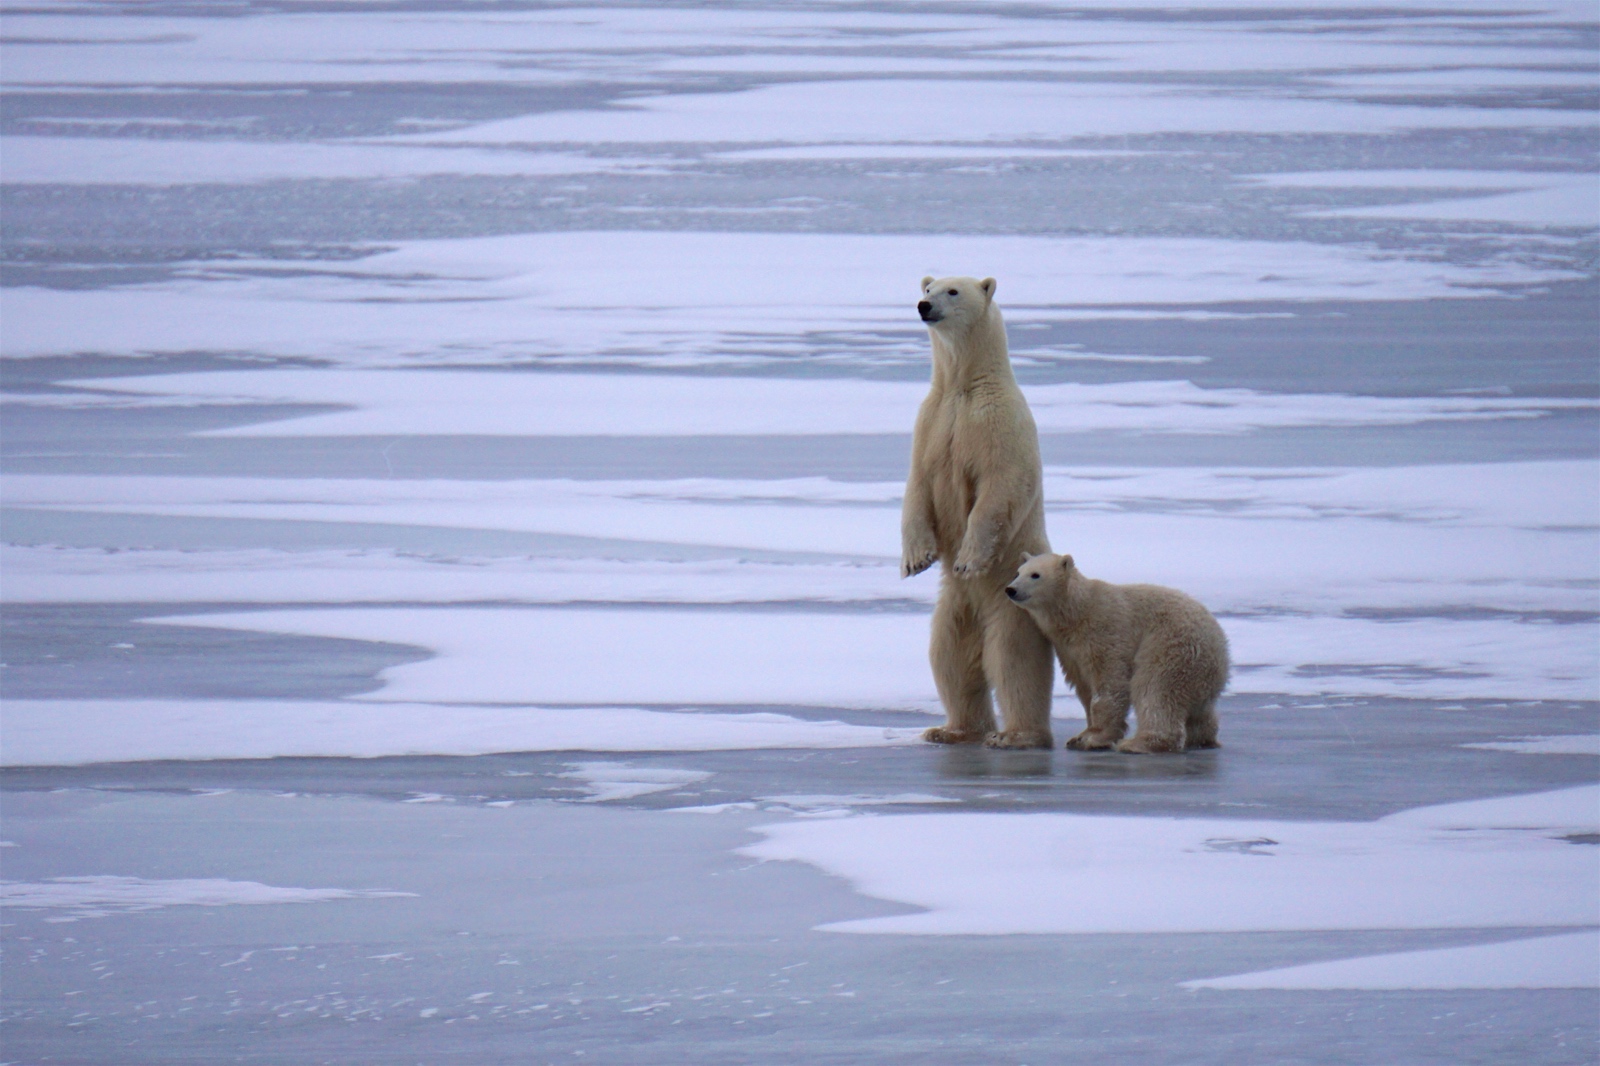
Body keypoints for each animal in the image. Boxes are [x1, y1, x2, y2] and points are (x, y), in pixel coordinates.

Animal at [902, 275, 1056, 749]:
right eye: (929, 287)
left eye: (952, 291)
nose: (923, 306)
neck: (963, 384)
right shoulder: (931, 421)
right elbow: (916, 487)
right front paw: (916, 559)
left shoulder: (997, 423)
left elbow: (1000, 486)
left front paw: (968, 559)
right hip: (955, 607)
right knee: (948, 656)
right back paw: (952, 729)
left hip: (1013, 597)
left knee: (1012, 660)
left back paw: (1017, 735)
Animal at [1004, 553, 1228, 754]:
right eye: (1017, 572)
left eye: (1035, 575)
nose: (1011, 589)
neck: (1077, 611)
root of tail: (1220, 643)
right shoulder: (1069, 649)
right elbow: (1084, 684)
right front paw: (1081, 736)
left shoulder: (1104, 631)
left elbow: (1109, 681)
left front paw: (1094, 738)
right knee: (1200, 709)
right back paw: (1202, 739)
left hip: (1172, 645)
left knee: (1155, 689)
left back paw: (1139, 744)